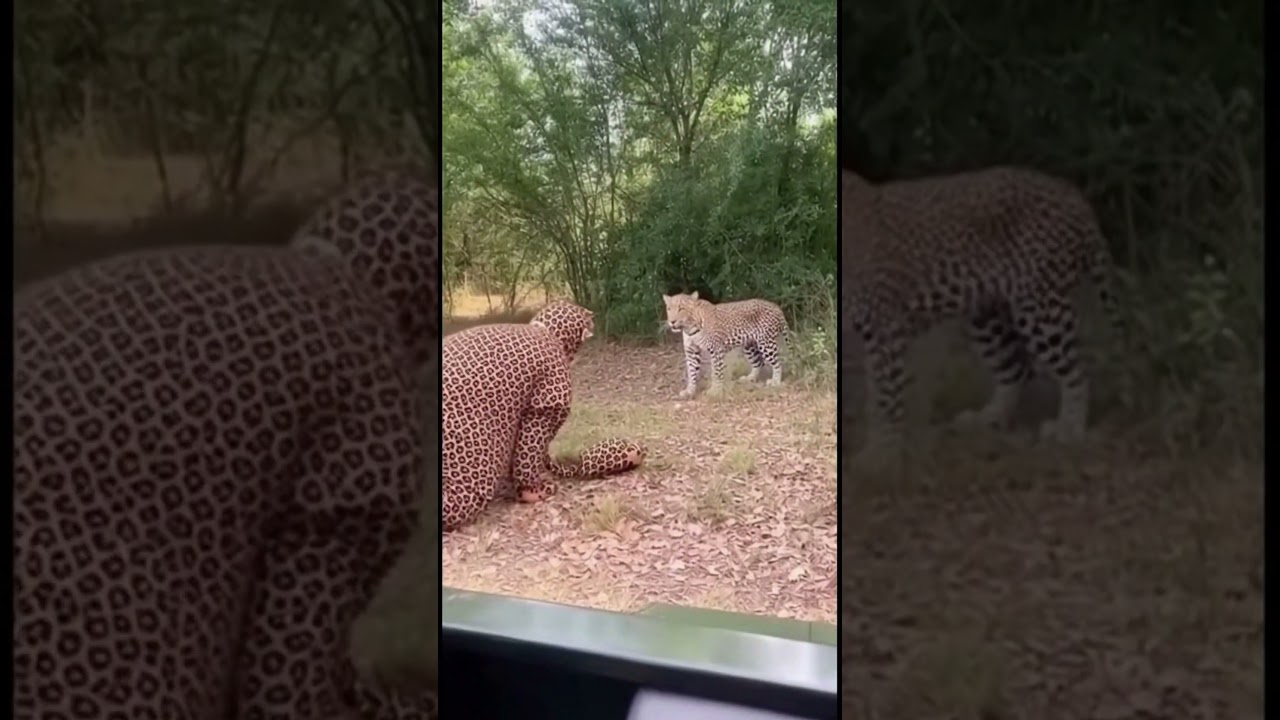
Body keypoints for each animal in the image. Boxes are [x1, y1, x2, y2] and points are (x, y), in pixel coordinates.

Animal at [840, 165, 1122, 465]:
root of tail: (1073, 195)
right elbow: (877, 396)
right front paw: (880, 450)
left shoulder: (884, 327)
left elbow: (884, 398)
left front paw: (879, 454)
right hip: (986, 314)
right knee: (1015, 369)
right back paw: (988, 418)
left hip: (1040, 308)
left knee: (1076, 372)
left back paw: (1069, 429)